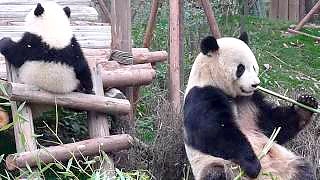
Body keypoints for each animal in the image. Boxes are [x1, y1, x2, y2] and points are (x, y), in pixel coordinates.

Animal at [184, 32, 318, 180]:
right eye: (241, 68)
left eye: (254, 67)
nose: (255, 84)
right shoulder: (201, 95)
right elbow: (214, 132)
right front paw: (253, 165)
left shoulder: (252, 100)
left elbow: (273, 125)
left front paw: (306, 104)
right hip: (217, 165)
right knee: (216, 173)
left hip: (286, 163)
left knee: (303, 170)